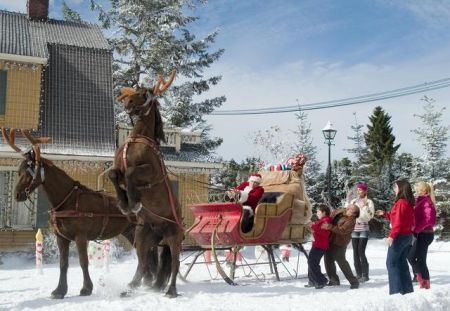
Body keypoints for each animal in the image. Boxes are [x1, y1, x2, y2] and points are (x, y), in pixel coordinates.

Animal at [1, 129, 157, 300]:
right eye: (19, 171)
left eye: (30, 171)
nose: (17, 195)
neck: (67, 201)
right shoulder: (61, 238)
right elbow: (63, 264)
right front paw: (60, 290)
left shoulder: (81, 237)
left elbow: (83, 262)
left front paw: (86, 288)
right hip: (130, 232)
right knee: (145, 256)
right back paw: (147, 282)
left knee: (145, 255)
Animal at [108, 70, 184, 298]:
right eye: (134, 91)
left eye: (145, 94)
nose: (128, 102)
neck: (137, 139)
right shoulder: (117, 168)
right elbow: (113, 174)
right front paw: (124, 202)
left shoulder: (151, 172)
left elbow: (131, 172)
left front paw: (133, 201)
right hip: (142, 237)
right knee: (142, 264)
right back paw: (129, 288)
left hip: (174, 238)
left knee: (174, 264)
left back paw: (171, 290)